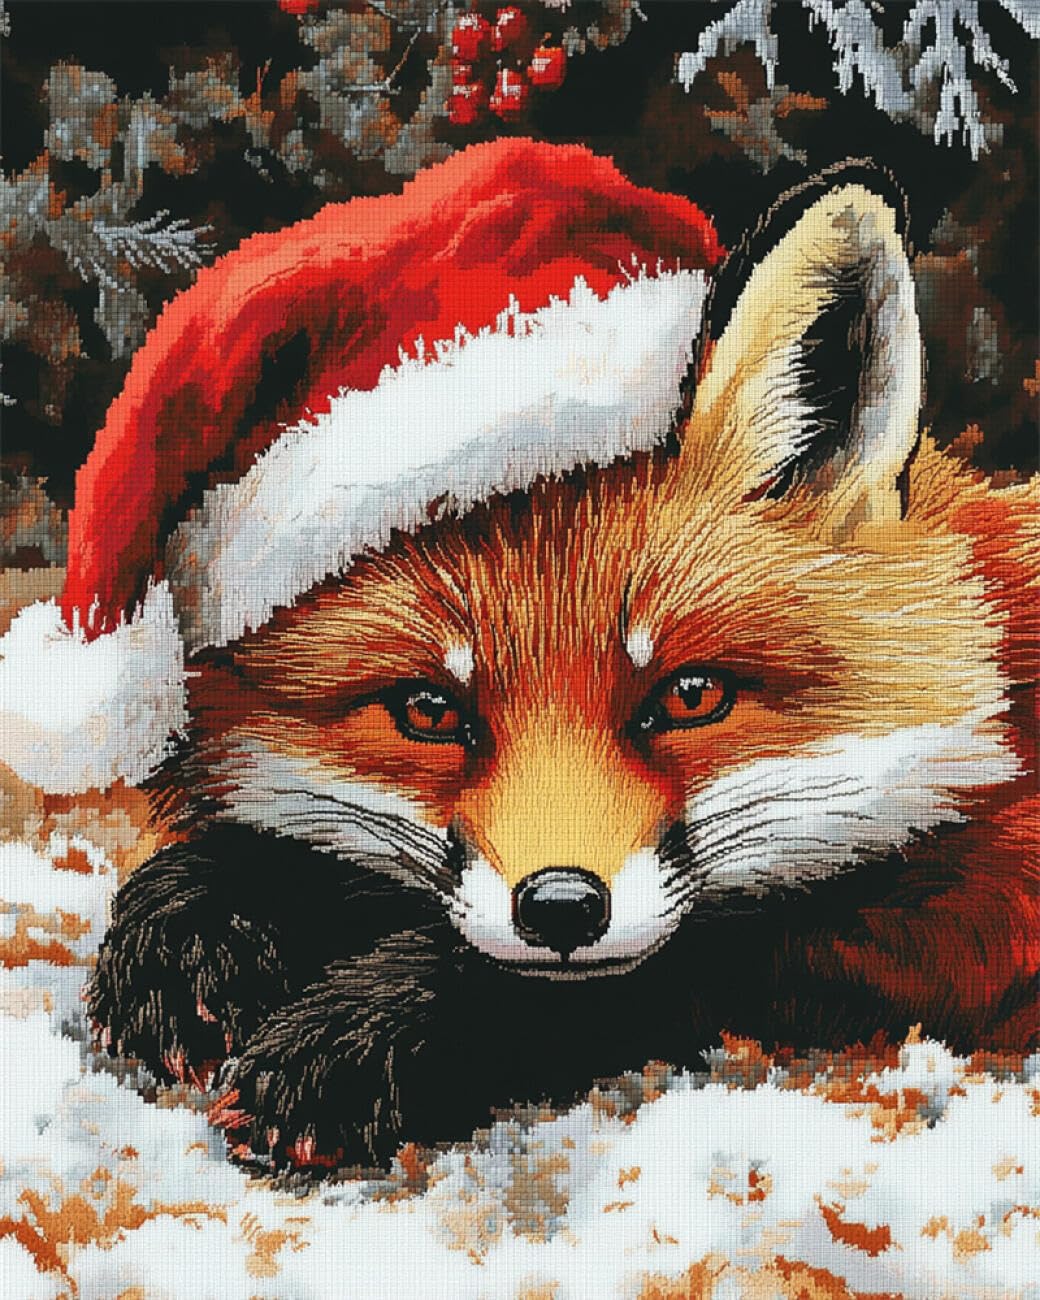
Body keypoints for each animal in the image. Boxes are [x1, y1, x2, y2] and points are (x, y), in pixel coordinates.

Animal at [88, 161, 1039, 1174]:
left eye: (690, 696)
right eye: (429, 711)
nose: (561, 909)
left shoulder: (963, 921)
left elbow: (679, 955)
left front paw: (357, 1037)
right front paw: (191, 921)